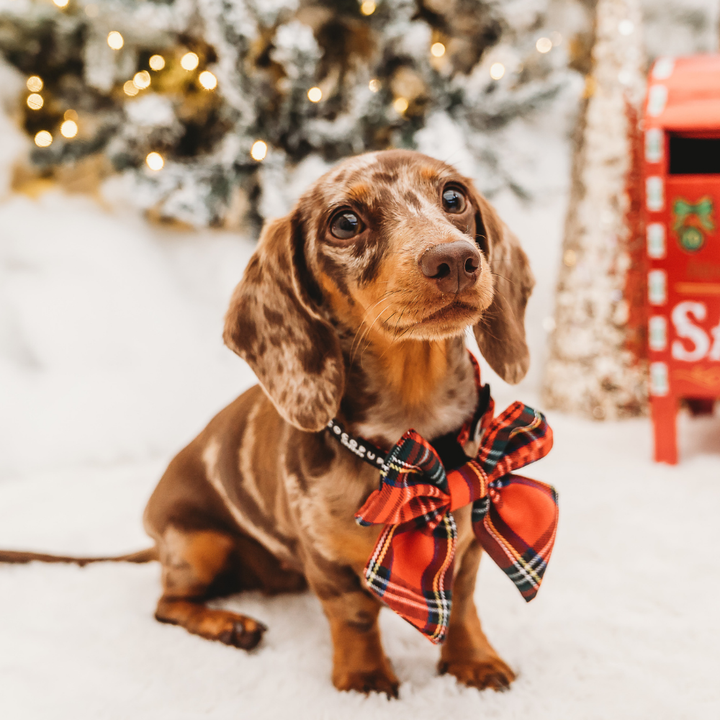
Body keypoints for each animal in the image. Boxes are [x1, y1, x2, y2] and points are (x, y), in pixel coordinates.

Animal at [1, 150, 536, 696]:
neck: (410, 440)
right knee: (167, 604)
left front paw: (473, 660)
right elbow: (354, 616)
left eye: (453, 196)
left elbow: (464, 605)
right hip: (197, 542)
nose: (455, 260)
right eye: (345, 222)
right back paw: (228, 623)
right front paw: (366, 680)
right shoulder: (325, 559)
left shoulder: (467, 544)